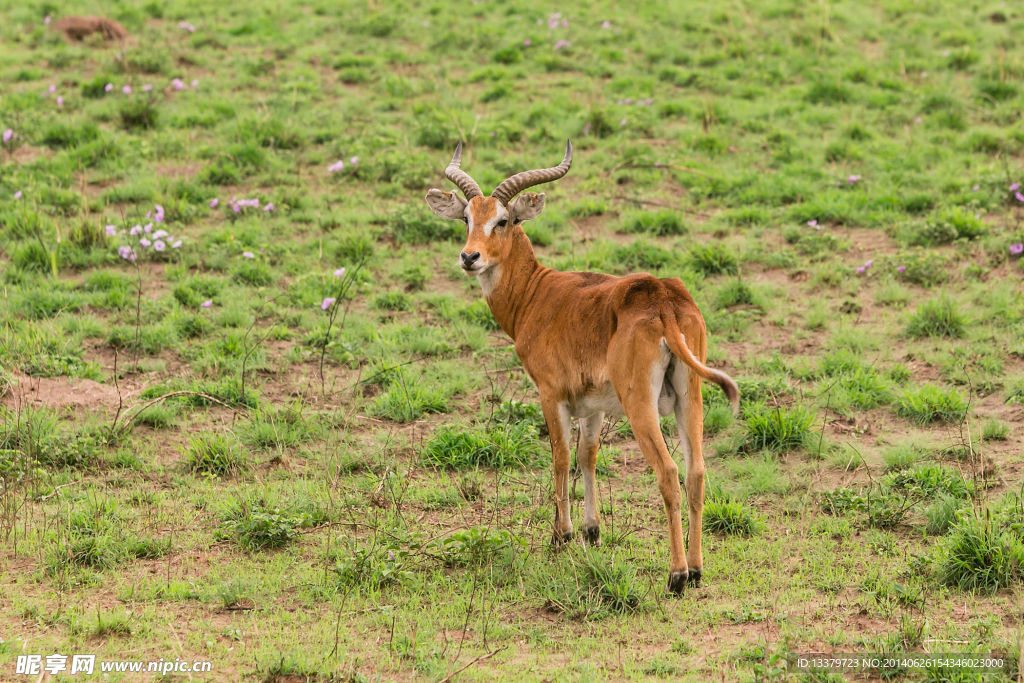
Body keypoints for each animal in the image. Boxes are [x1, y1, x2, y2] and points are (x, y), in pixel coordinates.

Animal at [423, 140, 737, 593]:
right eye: (467, 217)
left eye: (503, 220)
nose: (469, 257)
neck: (536, 294)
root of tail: (662, 298)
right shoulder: (594, 405)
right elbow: (588, 455)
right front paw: (592, 531)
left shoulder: (551, 394)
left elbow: (560, 456)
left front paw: (561, 535)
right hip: (688, 397)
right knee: (696, 473)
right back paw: (695, 571)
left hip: (641, 406)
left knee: (669, 472)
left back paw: (676, 575)